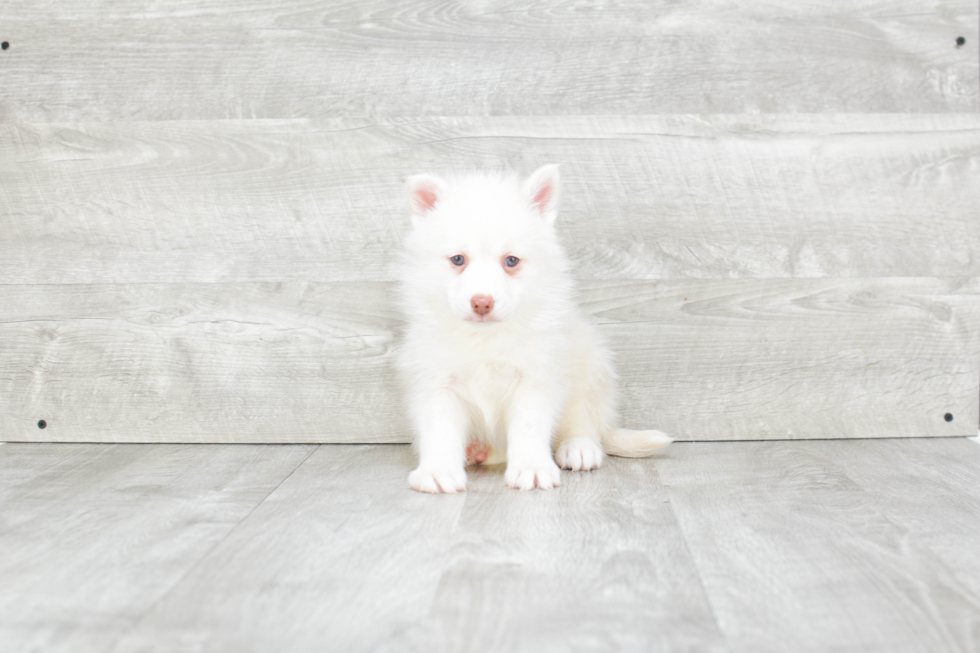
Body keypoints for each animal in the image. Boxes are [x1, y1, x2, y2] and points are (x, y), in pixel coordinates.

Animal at [394, 166, 668, 492]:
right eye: (458, 259)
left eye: (511, 260)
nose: (482, 302)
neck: (486, 339)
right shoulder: (436, 383)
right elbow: (440, 431)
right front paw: (437, 471)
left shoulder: (536, 379)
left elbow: (529, 428)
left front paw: (531, 467)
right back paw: (475, 450)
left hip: (591, 368)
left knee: (585, 420)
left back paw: (579, 447)